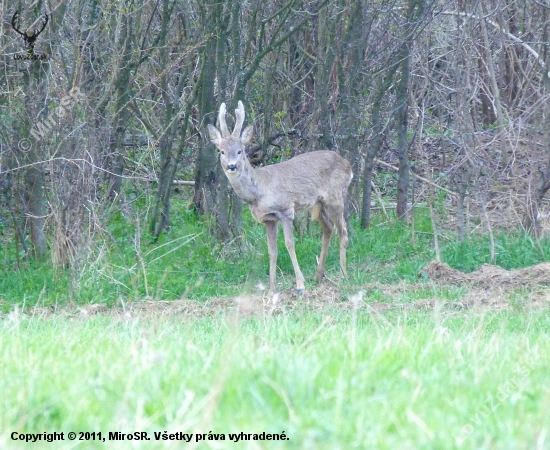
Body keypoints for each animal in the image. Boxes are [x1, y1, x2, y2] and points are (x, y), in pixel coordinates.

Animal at [207, 100, 354, 294]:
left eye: (240, 150)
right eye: (221, 151)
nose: (231, 166)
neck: (260, 192)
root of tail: (348, 165)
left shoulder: (285, 210)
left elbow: (289, 243)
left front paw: (300, 285)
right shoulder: (269, 219)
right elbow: (272, 250)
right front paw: (272, 288)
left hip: (335, 196)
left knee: (343, 230)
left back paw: (343, 275)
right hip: (318, 204)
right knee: (328, 227)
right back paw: (318, 275)